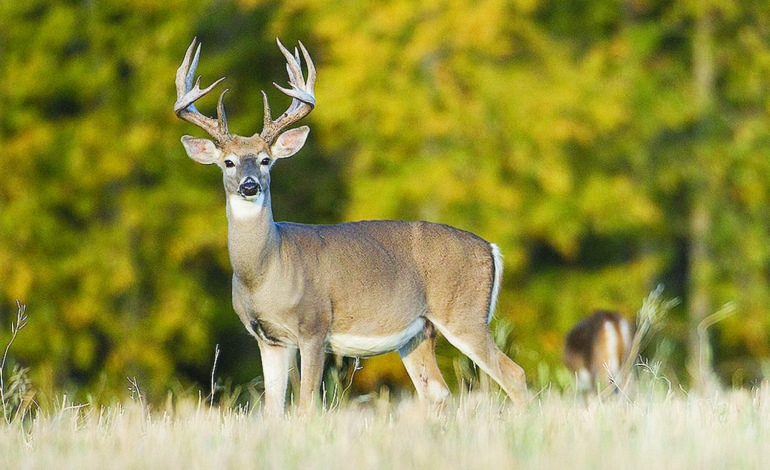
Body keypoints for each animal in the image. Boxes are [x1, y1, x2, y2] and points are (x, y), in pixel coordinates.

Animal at [172, 37, 524, 414]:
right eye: (228, 162)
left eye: (266, 160)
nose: (250, 185)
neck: (266, 271)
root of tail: (490, 248)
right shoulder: (268, 339)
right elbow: (272, 408)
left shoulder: (314, 326)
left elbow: (306, 404)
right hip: (419, 332)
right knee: (438, 391)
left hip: (463, 313)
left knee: (513, 374)